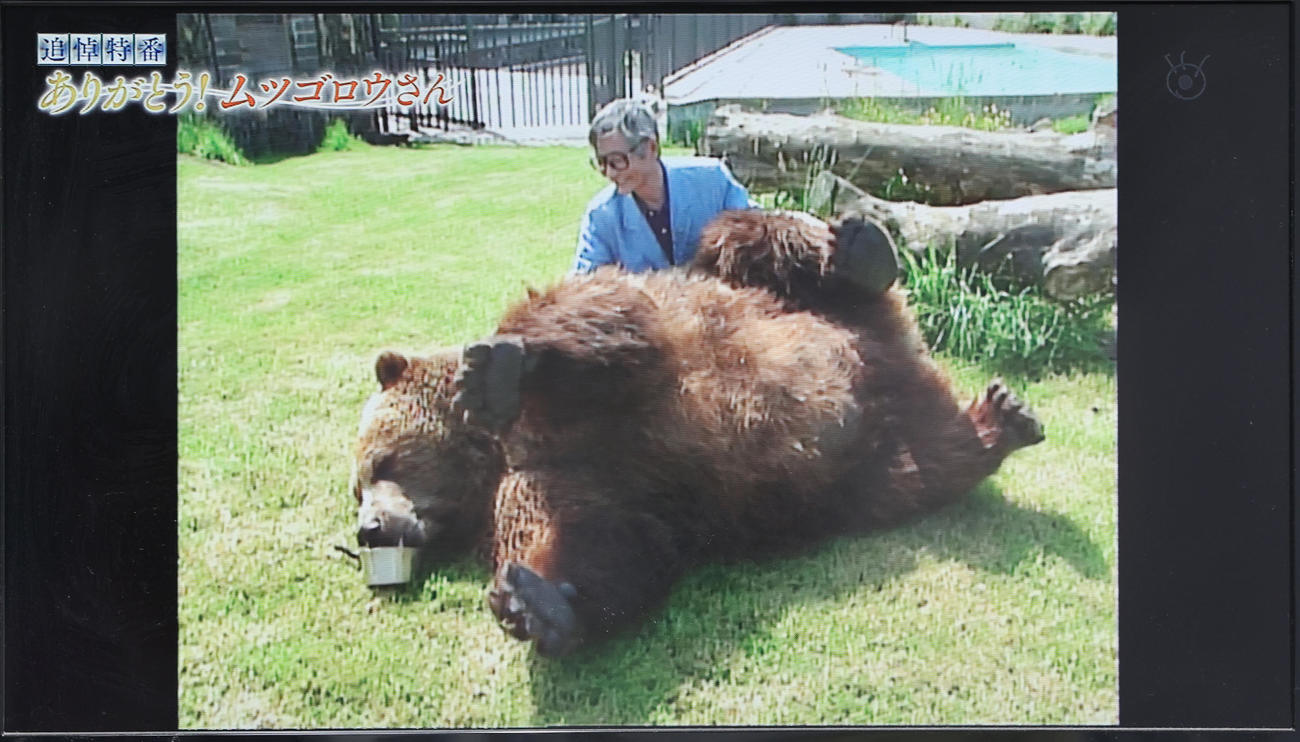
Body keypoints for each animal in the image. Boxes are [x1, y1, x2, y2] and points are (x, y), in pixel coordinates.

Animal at [351, 209, 1044, 657]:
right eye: (358, 491)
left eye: (379, 463)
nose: (369, 527)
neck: (501, 451)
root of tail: (895, 354)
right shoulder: (572, 477)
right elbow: (605, 540)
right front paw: (535, 602)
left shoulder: (638, 348)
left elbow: (599, 322)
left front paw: (497, 372)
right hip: (867, 463)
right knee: (922, 471)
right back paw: (1000, 419)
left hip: (774, 299)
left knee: (749, 239)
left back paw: (862, 252)